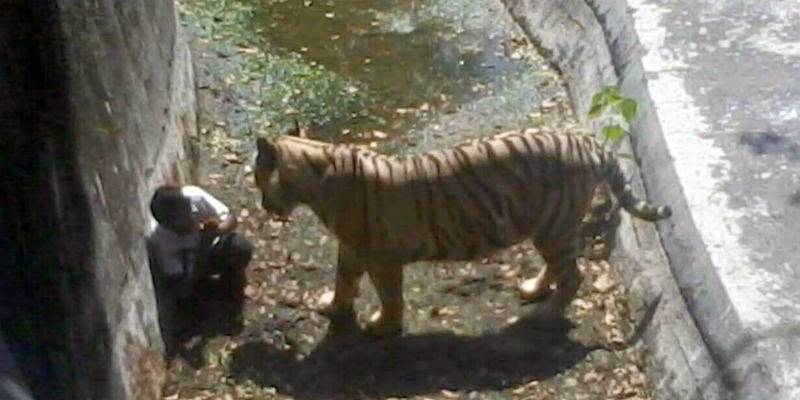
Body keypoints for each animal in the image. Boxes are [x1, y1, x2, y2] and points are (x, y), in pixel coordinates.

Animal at [253, 127, 671, 337]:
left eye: (258, 178)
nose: (262, 205)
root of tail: (587, 142)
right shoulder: (353, 248)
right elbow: (344, 280)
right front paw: (333, 306)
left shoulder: (380, 257)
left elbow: (389, 296)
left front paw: (383, 326)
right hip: (549, 228)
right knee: (560, 267)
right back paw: (534, 290)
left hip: (554, 226)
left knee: (574, 275)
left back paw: (544, 314)